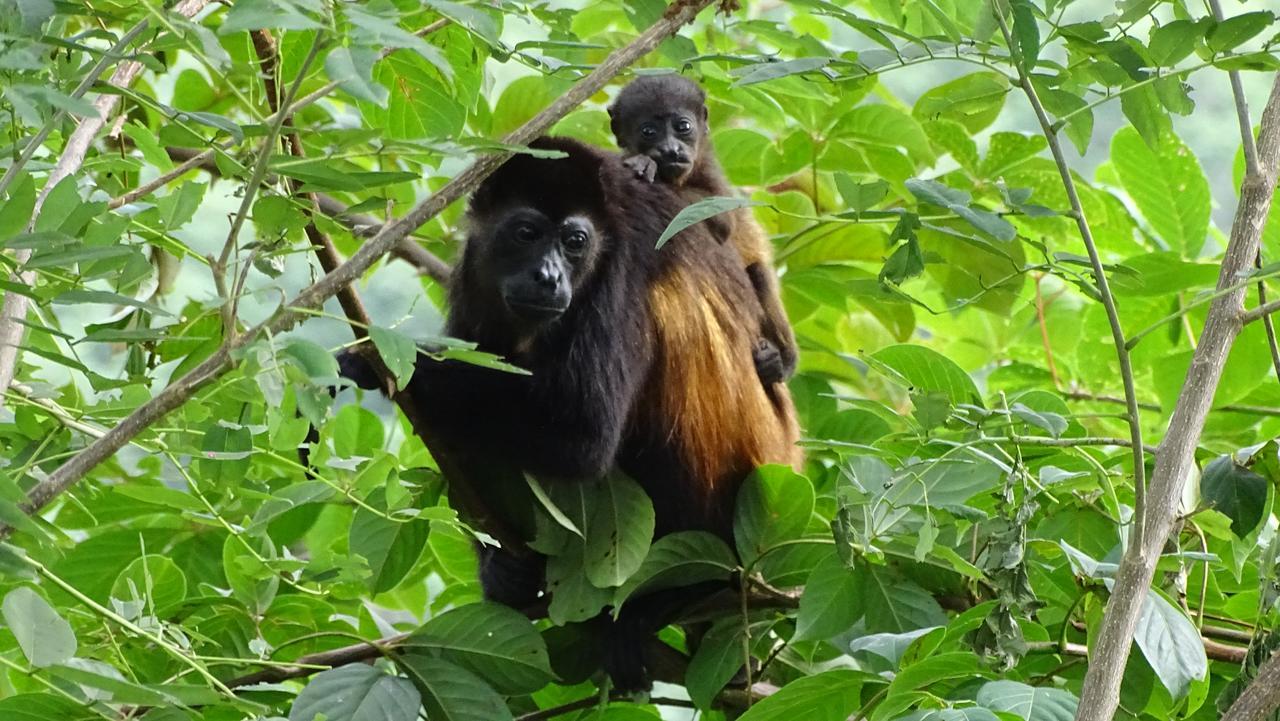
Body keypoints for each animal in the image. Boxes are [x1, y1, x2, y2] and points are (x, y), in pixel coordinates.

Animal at [340, 137, 798, 686]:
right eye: (526, 233)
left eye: (576, 242)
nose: (548, 276)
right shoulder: (474, 271)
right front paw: (501, 570)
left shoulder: (623, 263)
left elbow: (583, 435)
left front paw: (384, 357)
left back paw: (663, 603)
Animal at [604, 73, 793, 389]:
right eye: (648, 131)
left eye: (683, 127)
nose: (671, 149)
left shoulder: (711, 171)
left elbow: (723, 221)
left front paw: (647, 164)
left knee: (760, 274)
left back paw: (784, 362)